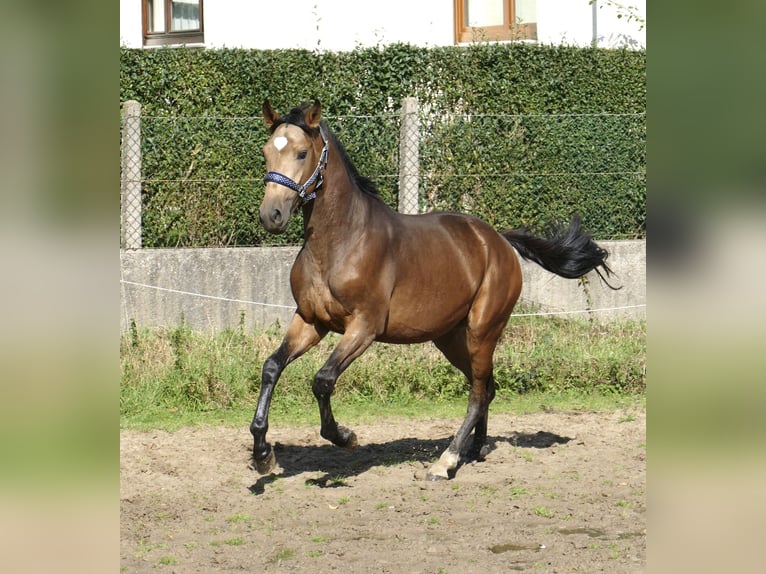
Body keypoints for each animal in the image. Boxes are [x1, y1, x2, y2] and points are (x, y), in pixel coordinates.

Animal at [252, 100, 616, 482]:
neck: (340, 242)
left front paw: (345, 437)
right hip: (450, 337)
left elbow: (323, 380)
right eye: (266, 152)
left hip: (483, 330)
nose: (271, 215)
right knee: (486, 387)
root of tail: (498, 240)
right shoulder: (311, 321)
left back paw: (447, 461)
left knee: (477, 392)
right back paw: (474, 450)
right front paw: (263, 455)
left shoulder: (364, 327)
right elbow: (271, 367)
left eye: (302, 152)